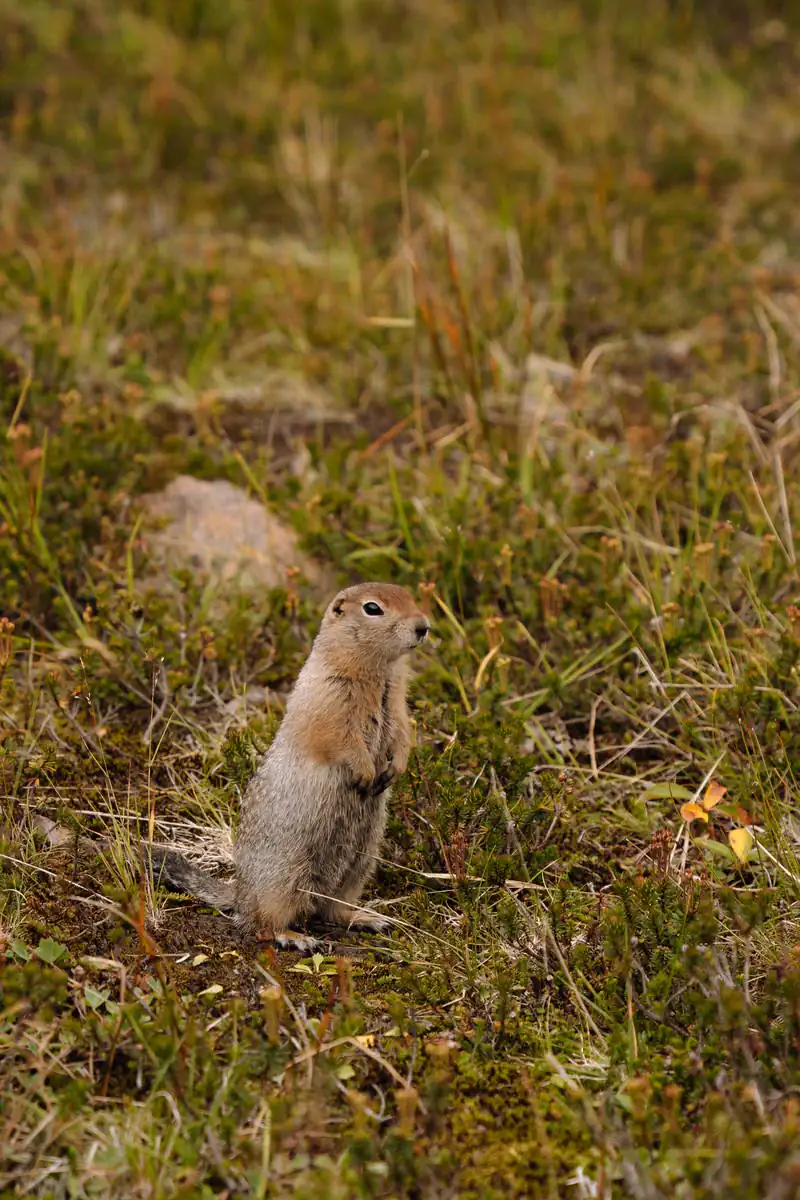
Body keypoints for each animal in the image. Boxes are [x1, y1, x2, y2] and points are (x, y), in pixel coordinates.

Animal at [146, 585, 429, 950]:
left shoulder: (396, 701)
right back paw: (294, 937)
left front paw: (395, 769)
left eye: (411, 597)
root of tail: (239, 894)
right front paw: (366, 773)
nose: (423, 627)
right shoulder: (330, 695)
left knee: (331, 910)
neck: (380, 672)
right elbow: (339, 737)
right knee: (259, 924)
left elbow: (403, 732)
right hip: (282, 880)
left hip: (360, 864)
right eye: (372, 608)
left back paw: (366, 918)